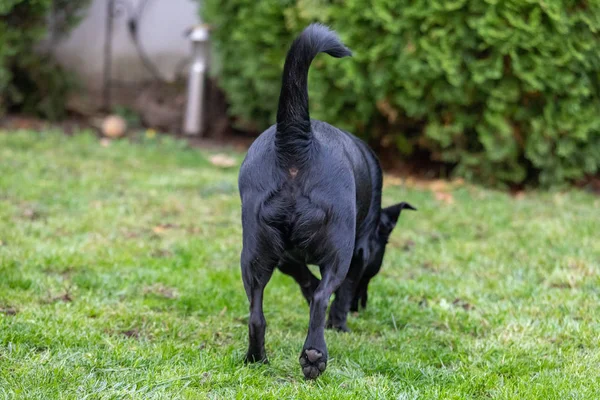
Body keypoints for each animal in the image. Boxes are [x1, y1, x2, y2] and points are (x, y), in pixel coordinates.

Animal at [237, 21, 414, 378]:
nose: (364, 306)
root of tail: (297, 140)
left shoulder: (285, 258)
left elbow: (305, 279)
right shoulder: (359, 252)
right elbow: (340, 291)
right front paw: (340, 322)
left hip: (253, 254)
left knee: (256, 313)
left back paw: (257, 358)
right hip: (339, 249)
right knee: (323, 296)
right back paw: (314, 355)